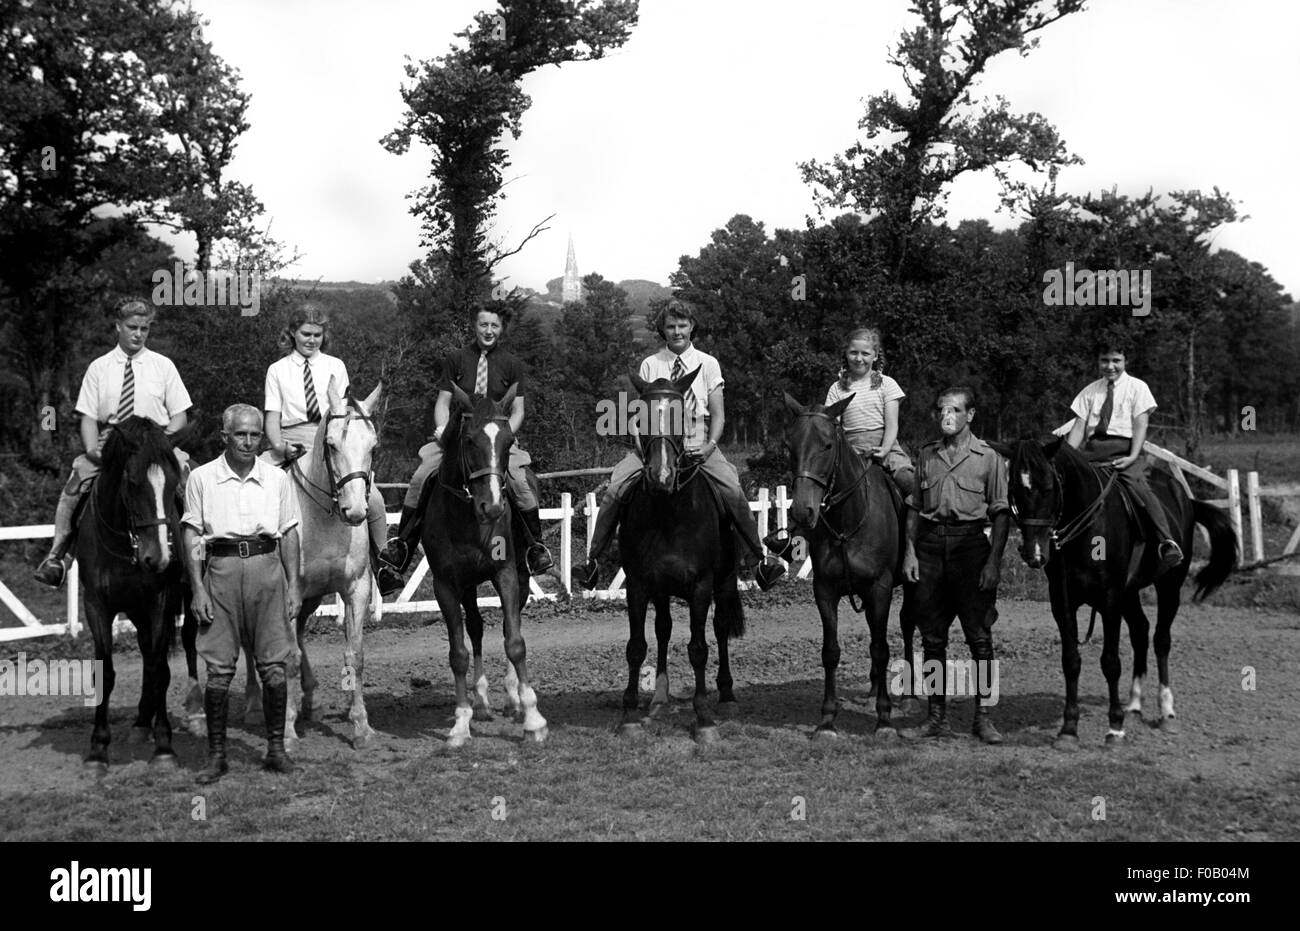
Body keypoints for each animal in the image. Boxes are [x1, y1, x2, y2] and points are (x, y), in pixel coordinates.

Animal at [74, 418, 185, 774]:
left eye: (173, 484)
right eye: (133, 483)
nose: (159, 557)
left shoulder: (160, 602)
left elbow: (161, 669)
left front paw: (164, 747)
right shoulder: (96, 607)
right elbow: (104, 672)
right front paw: (98, 749)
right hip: (135, 611)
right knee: (147, 655)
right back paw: (140, 722)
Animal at [423, 379, 546, 748]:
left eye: (508, 442)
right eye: (469, 441)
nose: (492, 507)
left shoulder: (505, 575)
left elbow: (515, 642)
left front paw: (533, 718)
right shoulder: (446, 585)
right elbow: (459, 653)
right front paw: (460, 723)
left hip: (520, 578)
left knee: (508, 624)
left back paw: (513, 699)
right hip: (467, 585)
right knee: (475, 629)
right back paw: (481, 703)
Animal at [616, 364, 748, 743]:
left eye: (683, 416)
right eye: (639, 417)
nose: (660, 476)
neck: (668, 512)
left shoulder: (701, 586)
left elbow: (698, 649)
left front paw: (703, 718)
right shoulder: (639, 586)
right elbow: (637, 647)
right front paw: (630, 714)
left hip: (724, 582)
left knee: (720, 628)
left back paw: (727, 696)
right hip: (662, 592)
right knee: (662, 630)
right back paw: (659, 699)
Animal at [780, 390, 915, 738]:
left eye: (827, 445)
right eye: (790, 446)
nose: (803, 511)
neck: (848, 520)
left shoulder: (880, 589)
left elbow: (881, 648)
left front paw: (884, 719)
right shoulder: (825, 591)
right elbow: (831, 652)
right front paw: (827, 720)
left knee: (908, 625)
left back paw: (908, 696)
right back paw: (872, 689)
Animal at [1003, 439, 1237, 748]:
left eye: (1049, 487)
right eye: (1014, 491)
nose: (1034, 552)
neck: (1088, 528)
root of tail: (1184, 498)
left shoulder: (1110, 599)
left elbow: (1111, 662)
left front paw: (1115, 728)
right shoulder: (1062, 602)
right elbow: (1071, 661)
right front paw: (1069, 729)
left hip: (1168, 586)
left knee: (1161, 639)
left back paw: (1166, 713)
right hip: (1130, 593)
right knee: (1140, 631)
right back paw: (1134, 705)